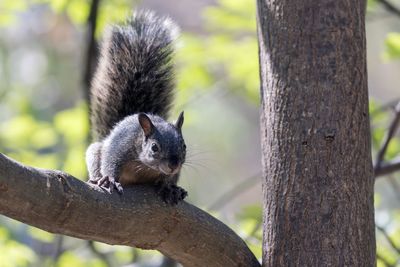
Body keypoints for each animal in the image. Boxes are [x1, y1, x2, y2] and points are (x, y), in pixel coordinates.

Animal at [85, 9, 188, 204]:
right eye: (154, 147)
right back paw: (95, 179)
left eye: (184, 146)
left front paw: (168, 187)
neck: (147, 167)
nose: (173, 165)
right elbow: (110, 161)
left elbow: (167, 179)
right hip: (94, 152)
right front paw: (110, 179)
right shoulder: (121, 145)